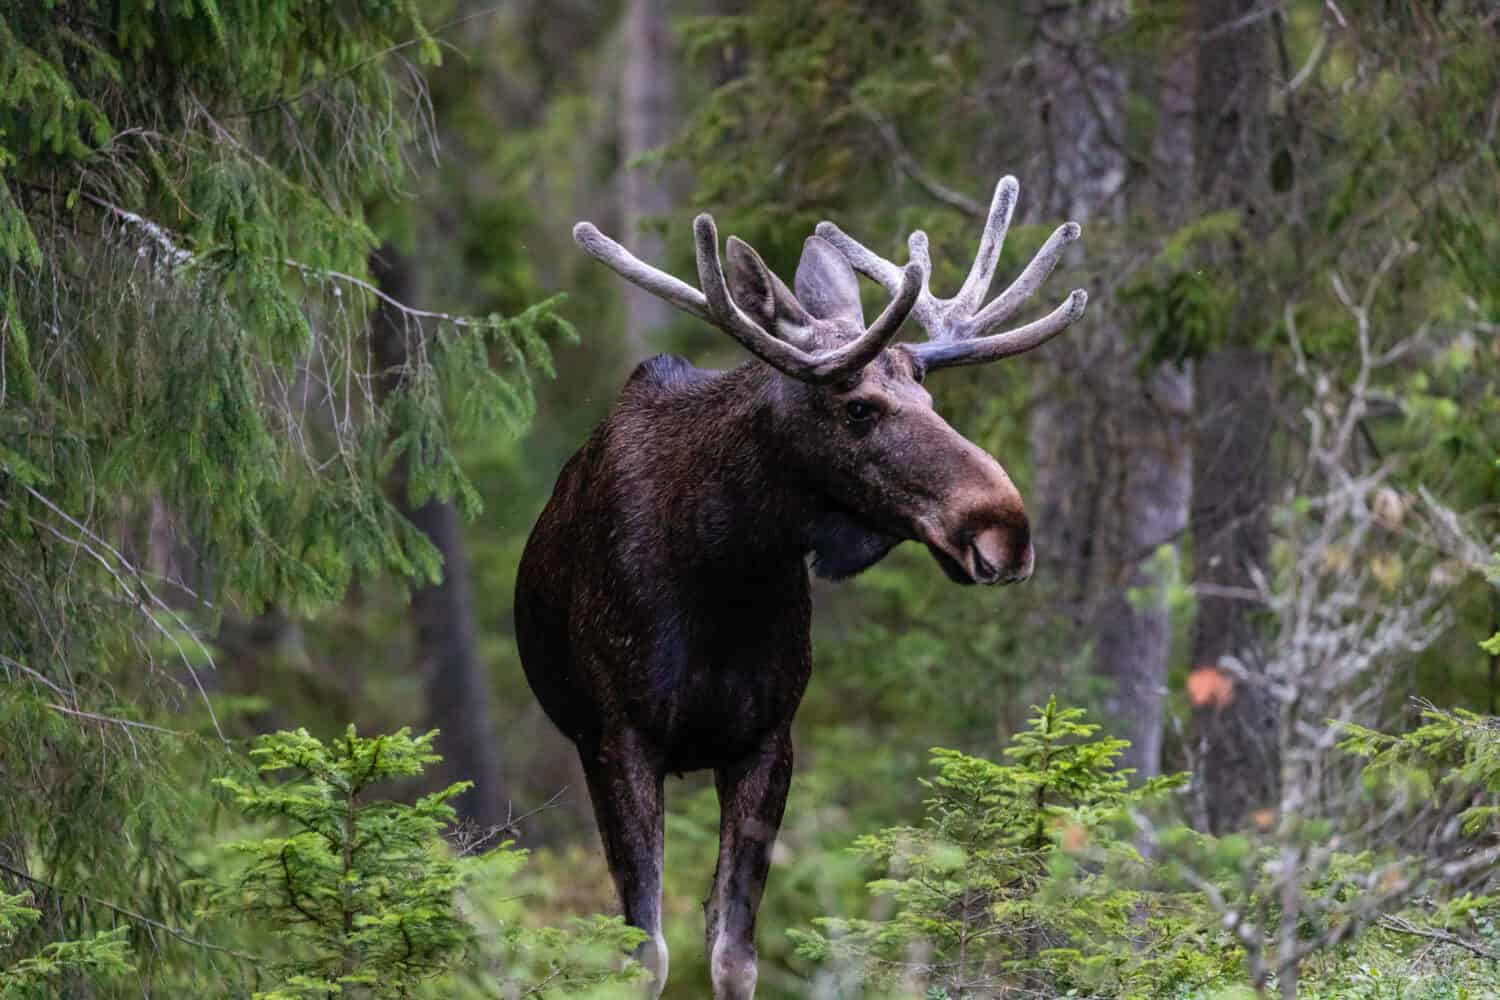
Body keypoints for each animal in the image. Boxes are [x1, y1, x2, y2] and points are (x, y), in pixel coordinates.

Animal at [519, 176, 1092, 995]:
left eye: (929, 399)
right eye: (858, 408)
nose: (1004, 530)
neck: (723, 574)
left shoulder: (768, 739)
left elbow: (733, 950)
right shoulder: (617, 736)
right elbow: (644, 953)